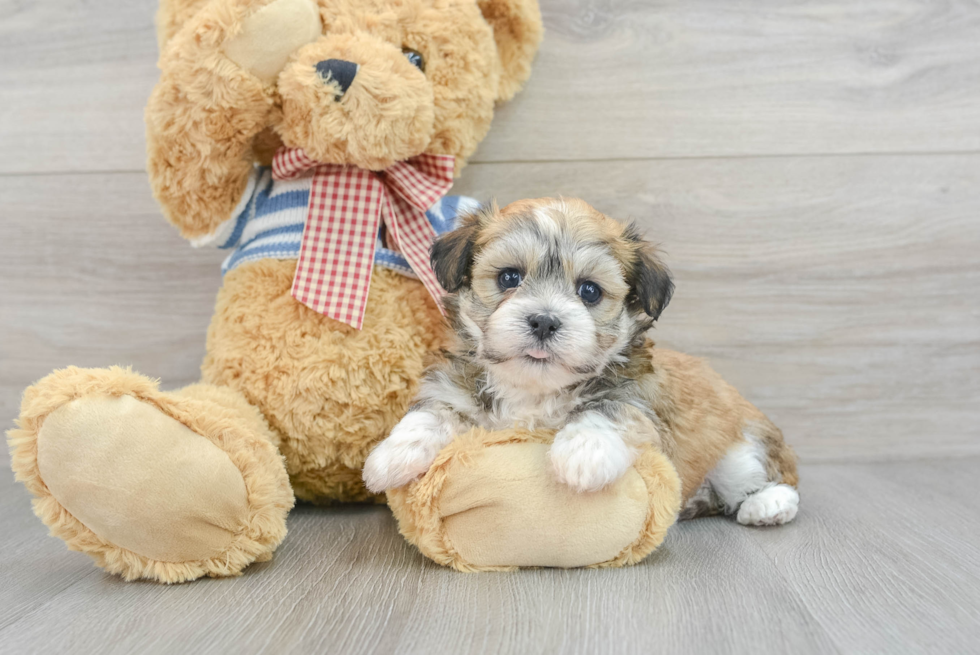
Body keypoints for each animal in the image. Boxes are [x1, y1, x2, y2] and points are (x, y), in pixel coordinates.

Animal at [364, 197, 800, 524]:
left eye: (589, 291)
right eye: (509, 278)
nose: (543, 320)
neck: (534, 390)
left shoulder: (640, 398)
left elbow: (609, 408)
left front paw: (582, 455)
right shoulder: (456, 389)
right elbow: (432, 413)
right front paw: (391, 456)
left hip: (743, 452)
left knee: (773, 477)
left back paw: (768, 504)